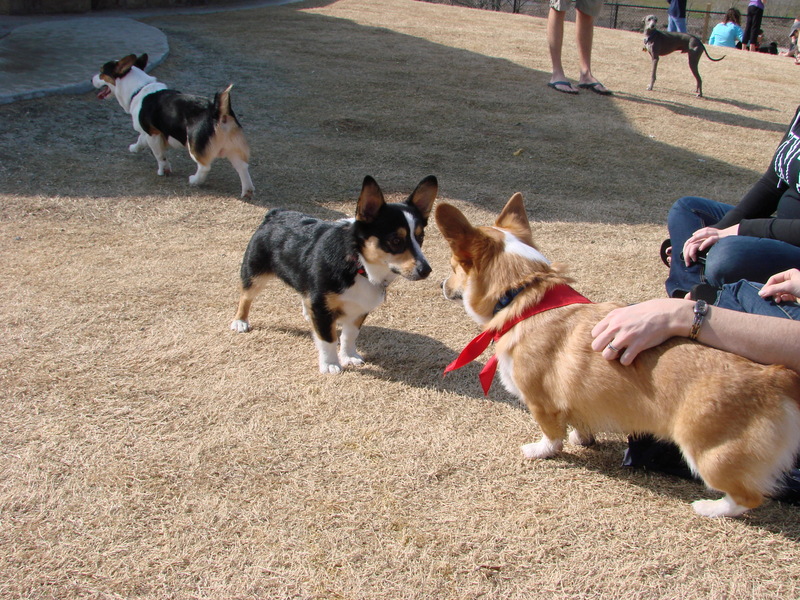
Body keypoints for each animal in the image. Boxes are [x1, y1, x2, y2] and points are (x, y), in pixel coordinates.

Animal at [231, 173, 438, 370]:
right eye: (395, 240)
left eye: (420, 237)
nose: (426, 270)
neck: (358, 263)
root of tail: (275, 213)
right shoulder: (322, 308)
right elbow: (328, 339)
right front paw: (330, 364)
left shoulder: (358, 310)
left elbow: (349, 335)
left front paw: (348, 357)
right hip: (254, 273)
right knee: (246, 297)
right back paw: (240, 321)